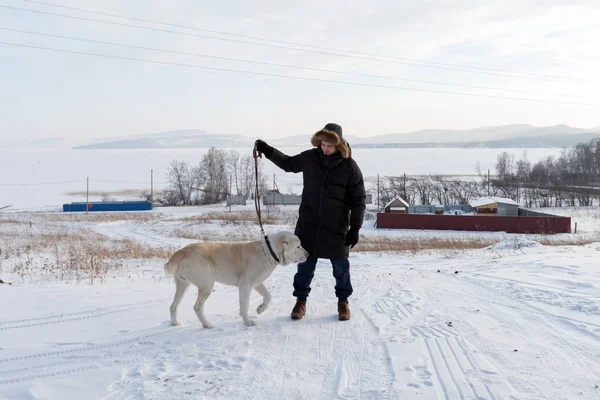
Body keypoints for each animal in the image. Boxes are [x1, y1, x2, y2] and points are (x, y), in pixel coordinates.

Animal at [163, 231, 308, 328]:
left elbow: (268, 296)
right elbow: (244, 306)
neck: (268, 252)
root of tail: (183, 251)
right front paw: (248, 322)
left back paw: (175, 323)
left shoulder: (257, 283)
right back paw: (207, 324)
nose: (308, 254)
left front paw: (260, 309)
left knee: (173, 306)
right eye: (298, 246)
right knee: (197, 307)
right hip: (207, 285)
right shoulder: (245, 286)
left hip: (183, 285)